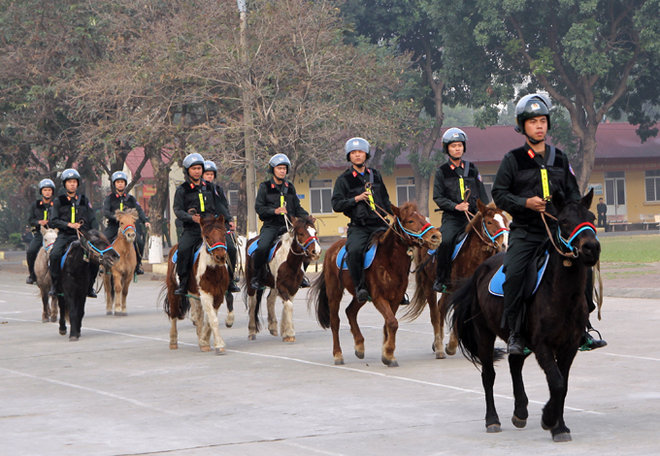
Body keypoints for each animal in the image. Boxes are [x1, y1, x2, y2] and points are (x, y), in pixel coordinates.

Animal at [162, 216, 229, 354]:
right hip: (173, 291)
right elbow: (213, 319)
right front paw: (219, 345)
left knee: (198, 315)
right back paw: (173, 341)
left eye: (224, 233)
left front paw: (205, 341)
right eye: (207, 236)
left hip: (195, 295)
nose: (220, 257)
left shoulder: (218, 295)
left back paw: (201, 338)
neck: (213, 270)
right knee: (174, 314)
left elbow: (209, 319)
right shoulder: (205, 293)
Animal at [310, 203, 444, 366]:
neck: (388, 260)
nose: (436, 236)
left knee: (350, 311)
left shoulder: (395, 299)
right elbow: (392, 322)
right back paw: (338, 354)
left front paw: (387, 352)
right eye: (410, 221)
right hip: (334, 291)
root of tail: (331, 250)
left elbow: (388, 323)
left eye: (423, 217)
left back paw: (359, 345)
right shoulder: (379, 298)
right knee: (335, 321)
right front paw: (388, 354)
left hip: (360, 295)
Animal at [402, 201, 510, 358]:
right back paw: (439, 347)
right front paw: (452, 345)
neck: (474, 255)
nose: (505, 245)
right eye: (489, 222)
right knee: (435, 313)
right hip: (428, 283)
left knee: (441, 307)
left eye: (506, 221)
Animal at [448, 189, 600, 442]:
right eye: (564, 221)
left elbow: (563, 385)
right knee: (488, 374)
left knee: (514, 363)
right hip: (484, 333)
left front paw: (559, 425)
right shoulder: (542, 345)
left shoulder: (569, 346)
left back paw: (520, 411)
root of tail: (480, 270)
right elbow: (557, 383)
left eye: (592, 218)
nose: (591, 248)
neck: (560, 293)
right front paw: (549, 420)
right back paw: (492, 420)